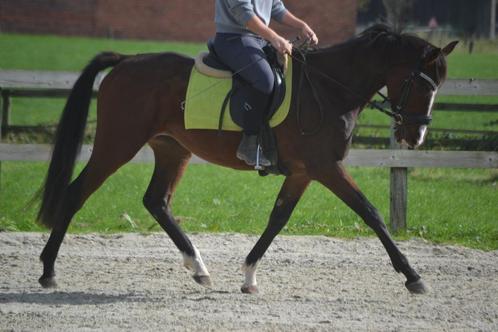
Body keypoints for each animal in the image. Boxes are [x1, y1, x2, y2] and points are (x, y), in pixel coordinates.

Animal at [36, 26, 460, 296]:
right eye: (424, 84)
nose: (416, 137)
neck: (328, 90)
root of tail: (127, 60)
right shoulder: (326, 168)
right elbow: (371, 213)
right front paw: (413, 276)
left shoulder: (303, 172)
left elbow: (278, 219)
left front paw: (249, 277)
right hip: (118, 144)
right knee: (76, 193)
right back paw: (48, 272)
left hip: (173, 149)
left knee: (156, 201)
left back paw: (199, 268)